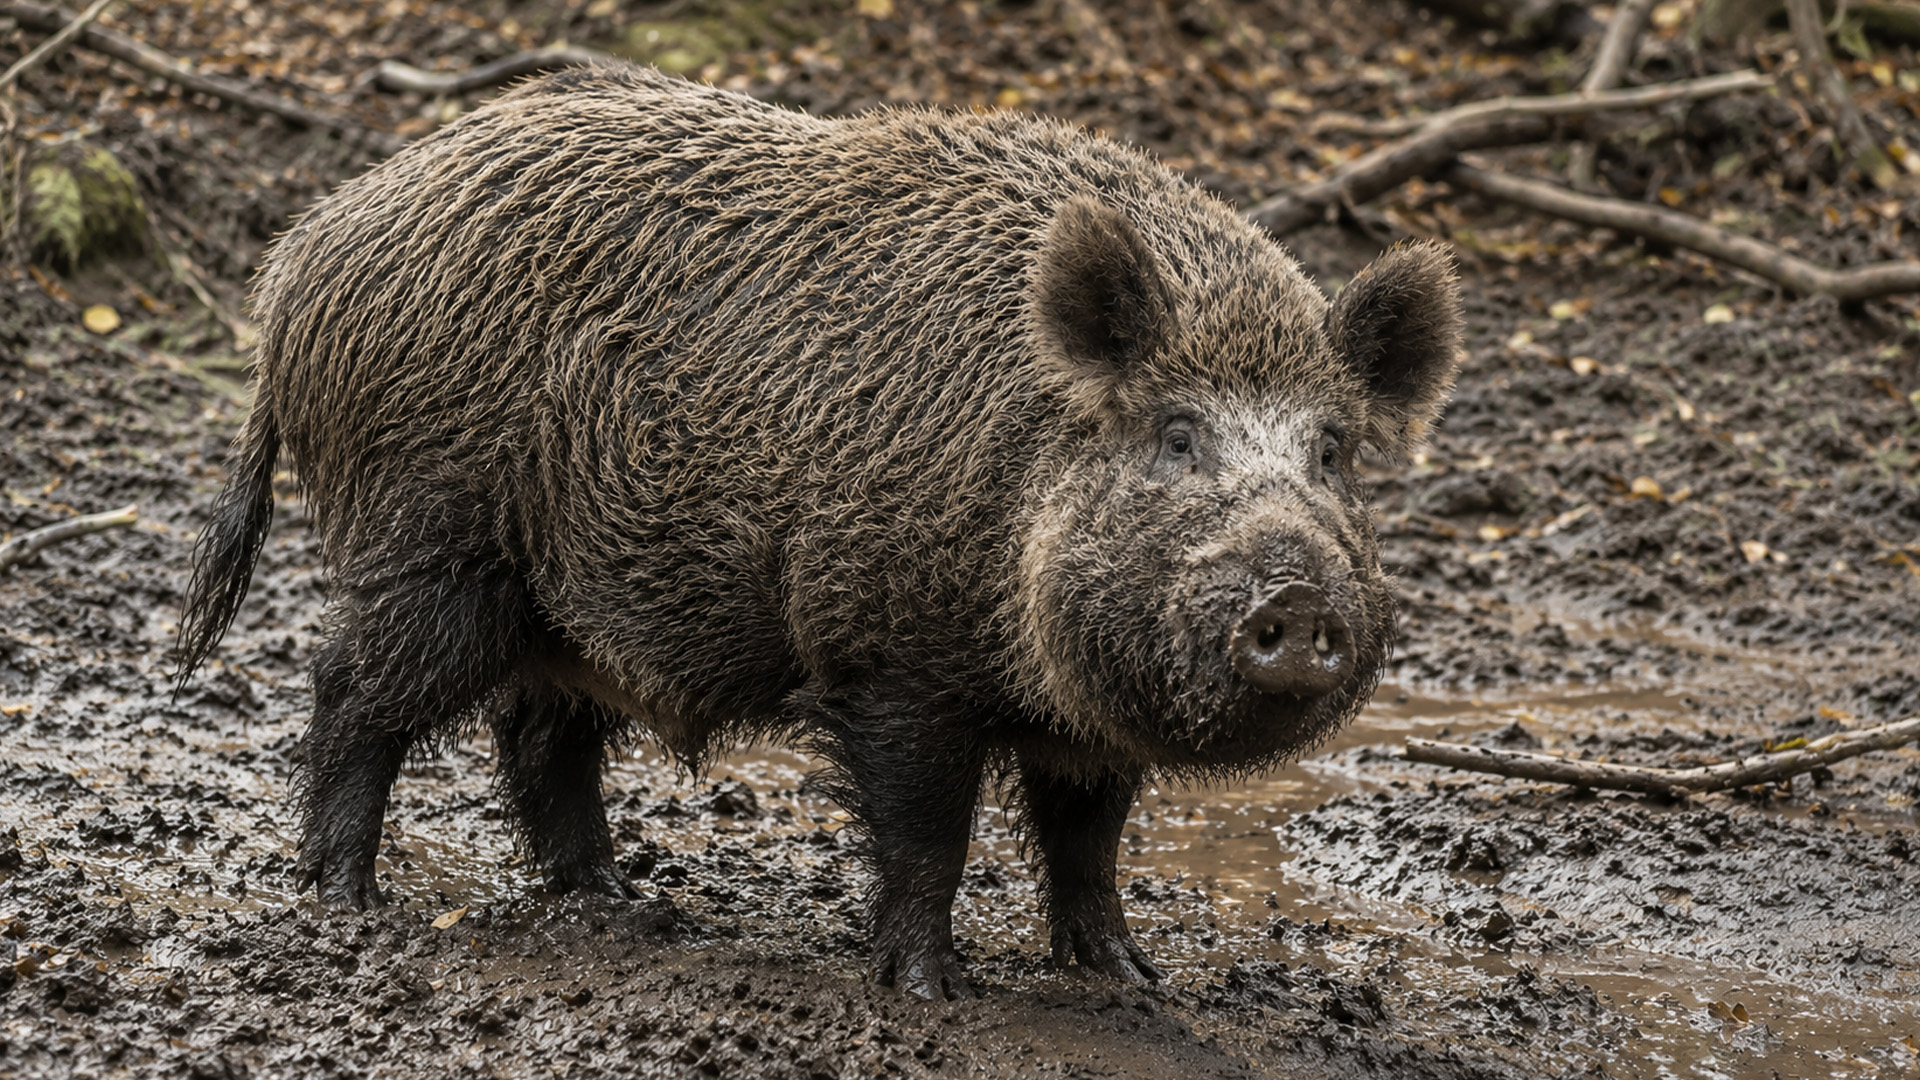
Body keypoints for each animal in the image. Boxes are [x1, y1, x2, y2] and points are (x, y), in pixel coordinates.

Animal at [175, 64, 1461, 999]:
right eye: (1178, 435)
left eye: (1333, 453)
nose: (1296, 598)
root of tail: (298, 266)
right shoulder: (888, 655)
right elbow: (930, 830)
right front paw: (931, 990)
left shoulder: (1087, 720)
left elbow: (1090, 841)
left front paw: (1134, 982)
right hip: (432, 539)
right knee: (354, 688)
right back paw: (348, 899)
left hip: (567, 602)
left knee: (540, 736)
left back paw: (624, 903)